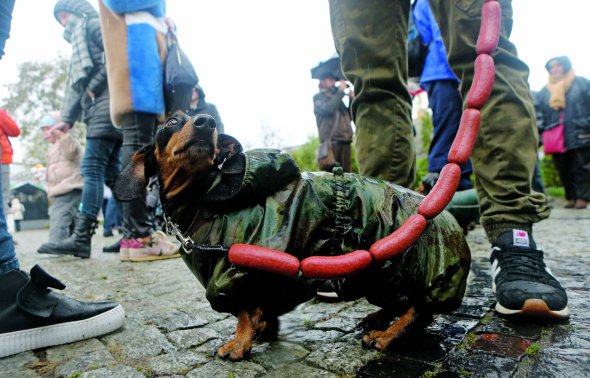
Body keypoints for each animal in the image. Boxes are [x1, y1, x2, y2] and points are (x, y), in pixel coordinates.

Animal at [115, 111, 472, 360]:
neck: (203, 199)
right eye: (172, 121)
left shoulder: (236, 269)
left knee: (419, 309)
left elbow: (239, 307)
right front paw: (260, 329)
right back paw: (377, 320)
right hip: (368, 274)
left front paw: (239, 343)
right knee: (404, 303)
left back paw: (386, 335)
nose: (207, 122)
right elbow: (259, 308)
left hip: (395, 266)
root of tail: (440, 213)